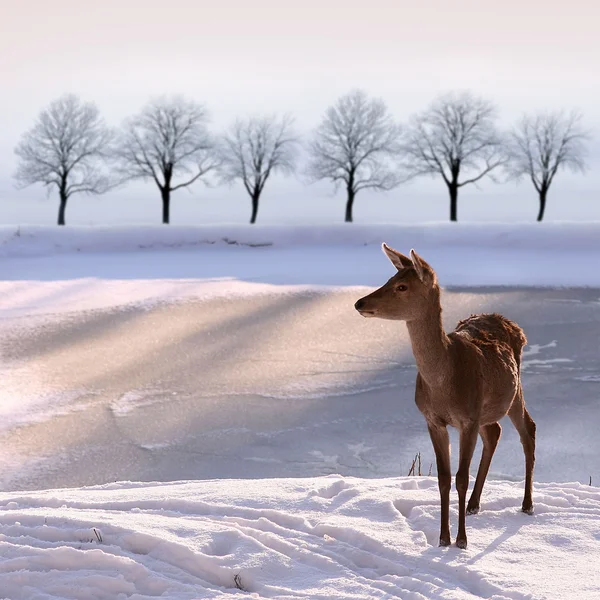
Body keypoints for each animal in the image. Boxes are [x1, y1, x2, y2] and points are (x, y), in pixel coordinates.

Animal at [354, 244, 536, 548]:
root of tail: (512, 324)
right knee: (495, 432)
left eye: (402, 286)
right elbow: (442, 478)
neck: (443, 384)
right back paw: (474, 504)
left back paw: (527, 504)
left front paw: (461, 540)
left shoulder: (468, 419)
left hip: (514, 391)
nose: (359, 303)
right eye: (389, 278)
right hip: (487, 408)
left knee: (528, 430)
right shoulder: (433, 420)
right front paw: (442, 538)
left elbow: (460, 477)